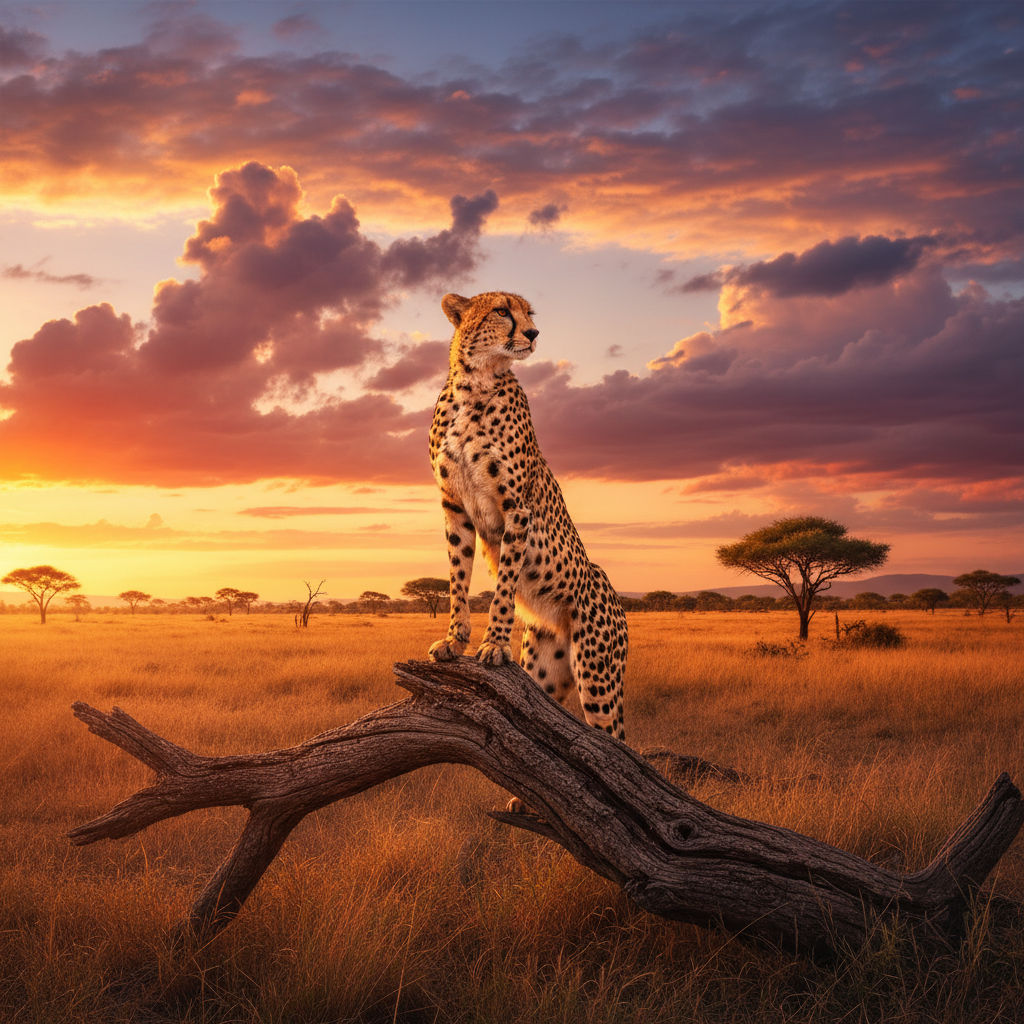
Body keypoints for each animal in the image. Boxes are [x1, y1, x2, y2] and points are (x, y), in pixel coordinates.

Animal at [426, 290, 627, 742]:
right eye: (502, 311)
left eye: (529, 313)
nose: (534, 333)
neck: (475, 383)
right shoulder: (454, 508)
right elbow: (457, 579)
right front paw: (454, 639)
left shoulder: (516, 509)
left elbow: (503, 587)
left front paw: (495, 645)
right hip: (546, 672)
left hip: (598, 675)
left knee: (618, 741)